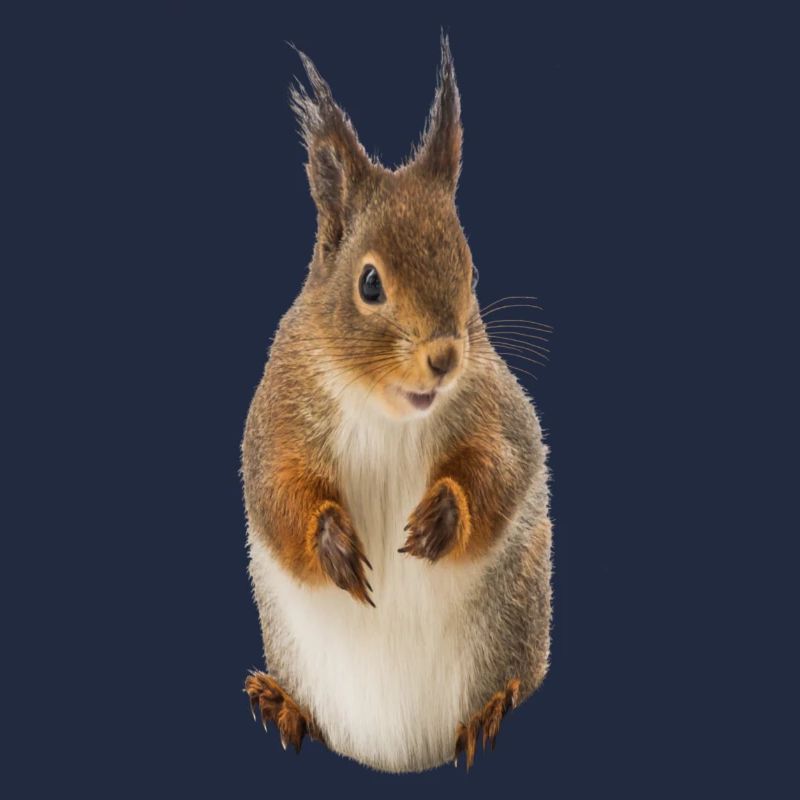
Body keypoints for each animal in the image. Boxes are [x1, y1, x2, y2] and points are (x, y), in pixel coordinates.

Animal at [242, 34, 552, 773]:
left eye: (471, 270)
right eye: (369, 283)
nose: (445, 356)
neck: (385, 407)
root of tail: (395, 756)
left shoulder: (497, 409)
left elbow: (503, 468)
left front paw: (443, 516)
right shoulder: (278, 413)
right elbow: (277, 490)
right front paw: (332, 543)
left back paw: (492, 710)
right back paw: (281, 703)